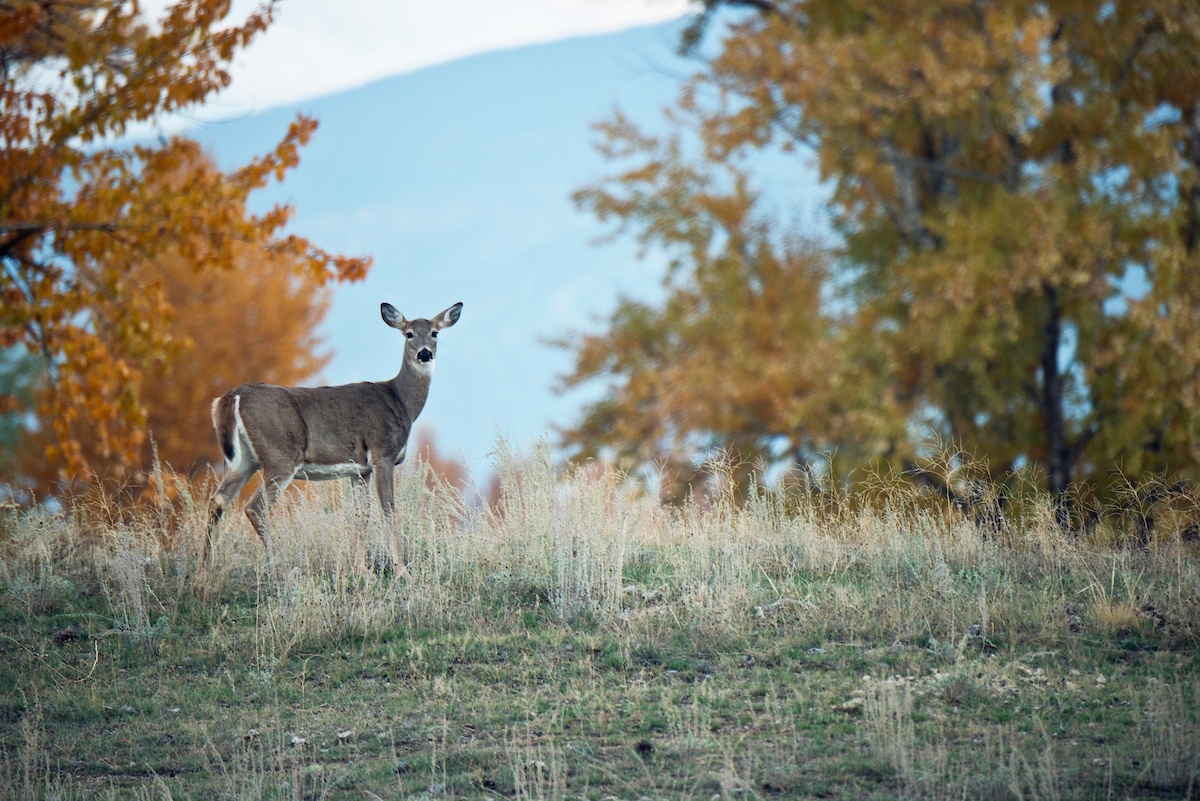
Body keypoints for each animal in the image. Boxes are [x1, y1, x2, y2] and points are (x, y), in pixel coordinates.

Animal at [206, 297, 458, 561]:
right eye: (409, 333)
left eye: (434, 333)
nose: (425, 353)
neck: (401, 401)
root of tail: (231, 396)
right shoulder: (383, 454)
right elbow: (389, 510)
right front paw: (400, 567)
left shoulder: (361, 470)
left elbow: (362, 516)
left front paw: (360, 568)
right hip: (280, 454)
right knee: (255, 508)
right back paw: (281, 563)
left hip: (242, 460)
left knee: (218, 500)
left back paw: (203, 568)